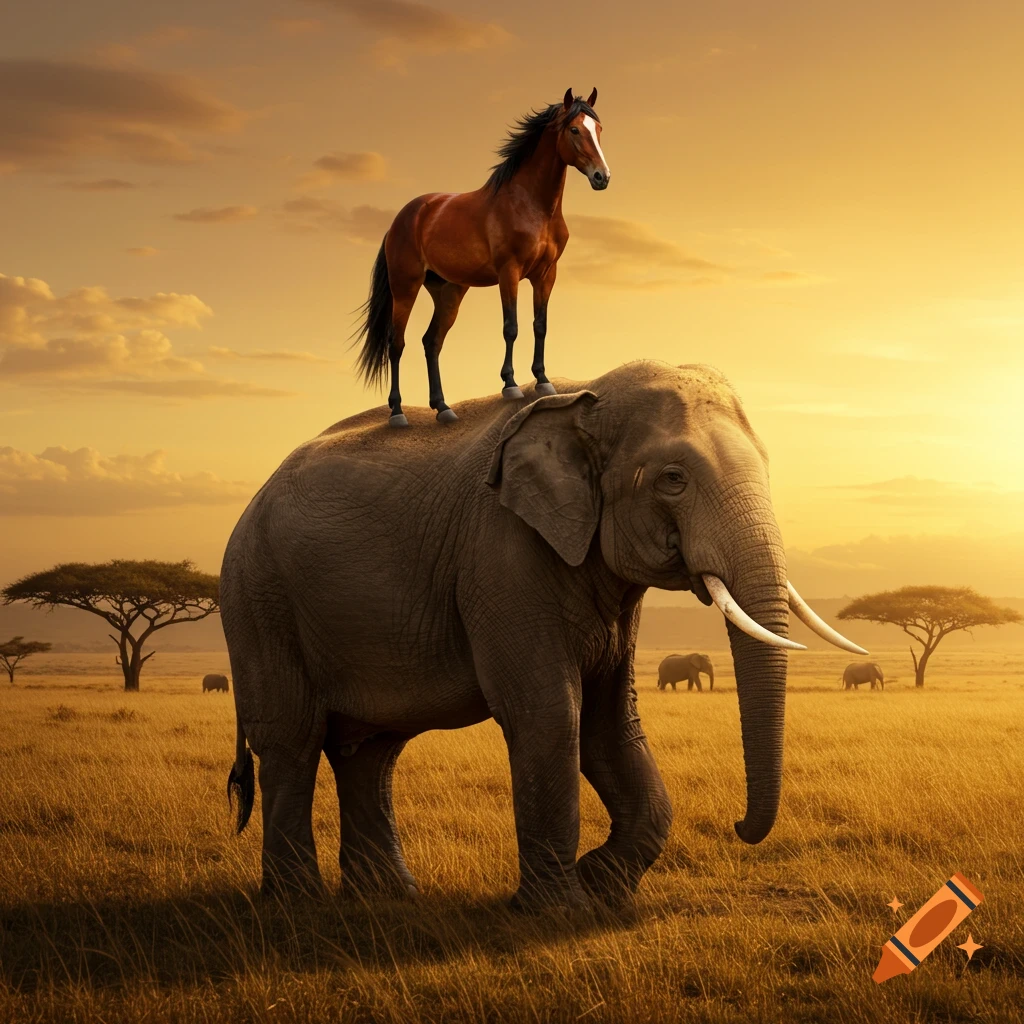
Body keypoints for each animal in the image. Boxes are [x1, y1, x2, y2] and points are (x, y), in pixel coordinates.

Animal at [220, 360, 867, 909]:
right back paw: (299, 905)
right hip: (258, 598)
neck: (586, 395)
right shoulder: (500, 553)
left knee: (372, 751)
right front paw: (560, 910)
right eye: (673, 479)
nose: (737, 825)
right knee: (293, 741)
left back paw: (388, 899)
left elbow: (612, 720)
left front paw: (601, 889)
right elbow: (551, 713)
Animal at [354, 87, 610, 427]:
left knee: (431, 342)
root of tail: (402, 218)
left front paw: (543, 381)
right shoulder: (509, 272)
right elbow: (511, 326)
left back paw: (443, 408)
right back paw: (397, 414)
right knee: (396, 344)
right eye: (574, 130)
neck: (530, 204)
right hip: (405, 288)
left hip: (449, 291)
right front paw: (510, 385)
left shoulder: (546, 274)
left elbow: (539, 325)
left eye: (599, 129)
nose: (602, 177)